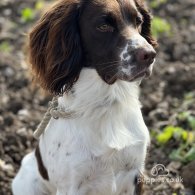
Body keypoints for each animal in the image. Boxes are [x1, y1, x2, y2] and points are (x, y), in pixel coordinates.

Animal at [12, 0, 156, 194]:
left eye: (138, 21)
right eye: (103, 26)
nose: (150, 54)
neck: (106, 105)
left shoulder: (135, 173)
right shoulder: (72, 185)